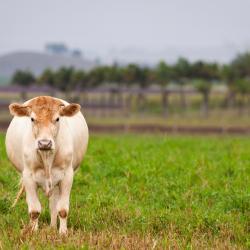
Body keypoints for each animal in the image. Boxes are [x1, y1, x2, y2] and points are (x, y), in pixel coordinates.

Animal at [4, 96, 89, 234]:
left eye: (57, 118)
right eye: (32, 119)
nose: (44, 143)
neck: (46, 157)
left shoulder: (67, 176)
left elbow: (62, 209)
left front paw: (63, 233)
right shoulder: (28, 177)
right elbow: (34, 210)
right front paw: (33, 232)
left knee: (53, 204)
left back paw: (53, 227)